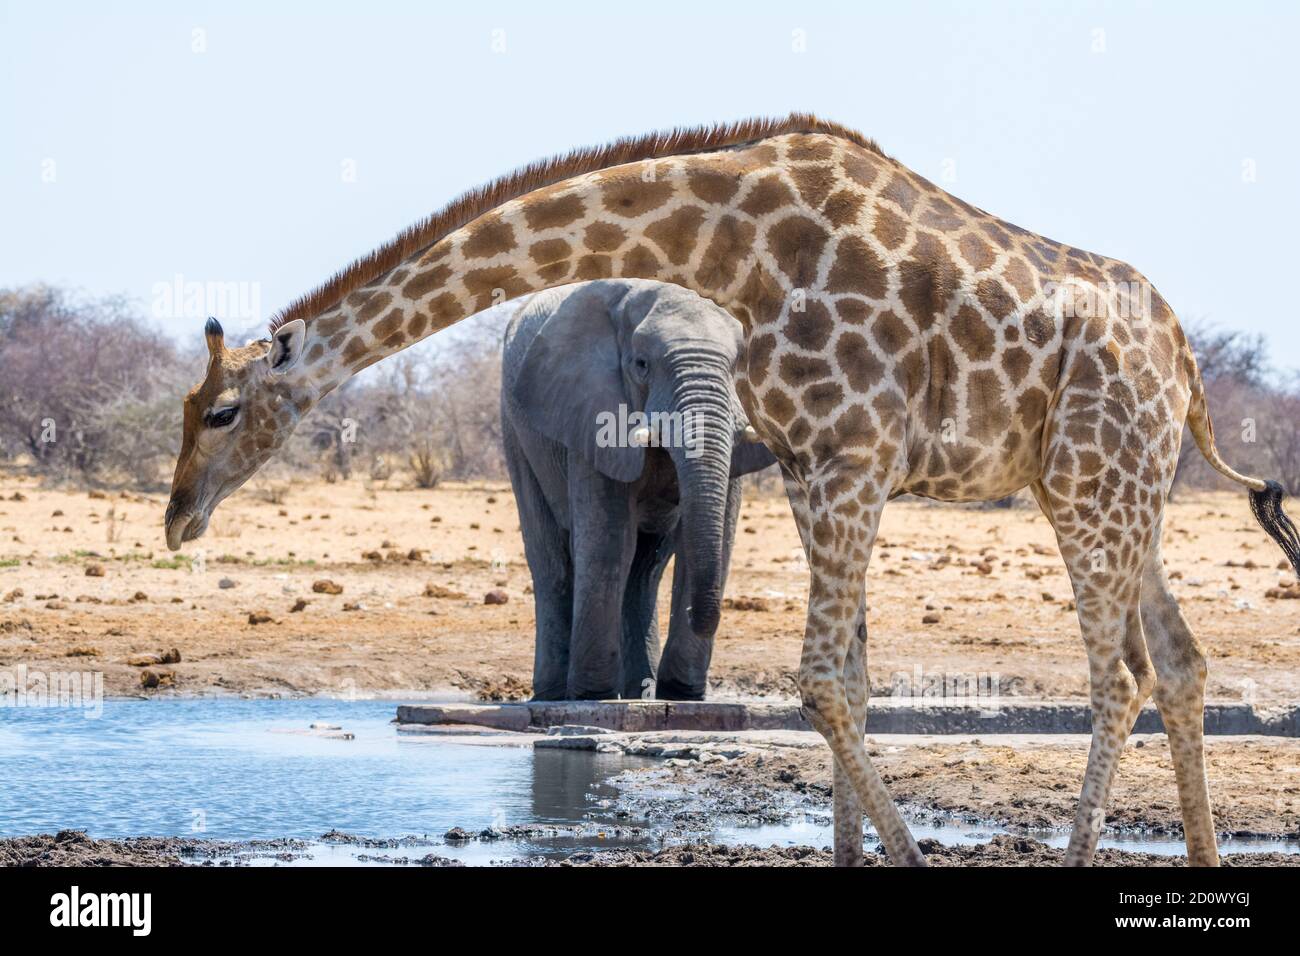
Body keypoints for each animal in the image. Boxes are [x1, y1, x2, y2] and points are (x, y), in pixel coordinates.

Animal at [501, 279, 775, 701]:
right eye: (641, 364)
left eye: (737, 364)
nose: (697, 614)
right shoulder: (590, 408)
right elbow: (610, 540)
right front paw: (592, 696)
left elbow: (715, 538)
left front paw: (681, 694)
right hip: (516, 431)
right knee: (552, 560)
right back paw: (555, 693)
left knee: (646, 568)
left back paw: (639, 691)